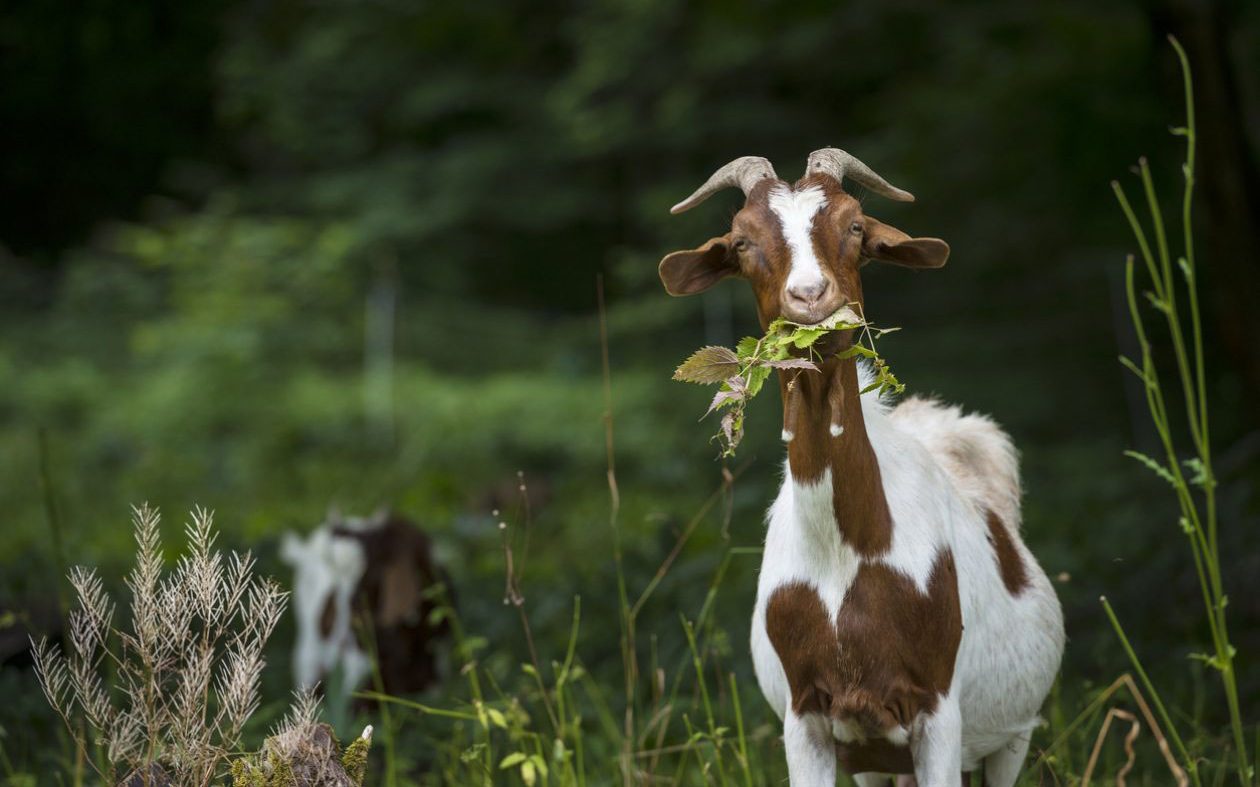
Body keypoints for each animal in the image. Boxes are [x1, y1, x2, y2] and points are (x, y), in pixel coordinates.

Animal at [660, 150, 1063, 780]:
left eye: (854, 225)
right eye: (742, 241)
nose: (809, 296)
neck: (847, 553)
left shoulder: (938, 712)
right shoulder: (806, 718)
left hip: (1013, 734)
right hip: (876, 757)